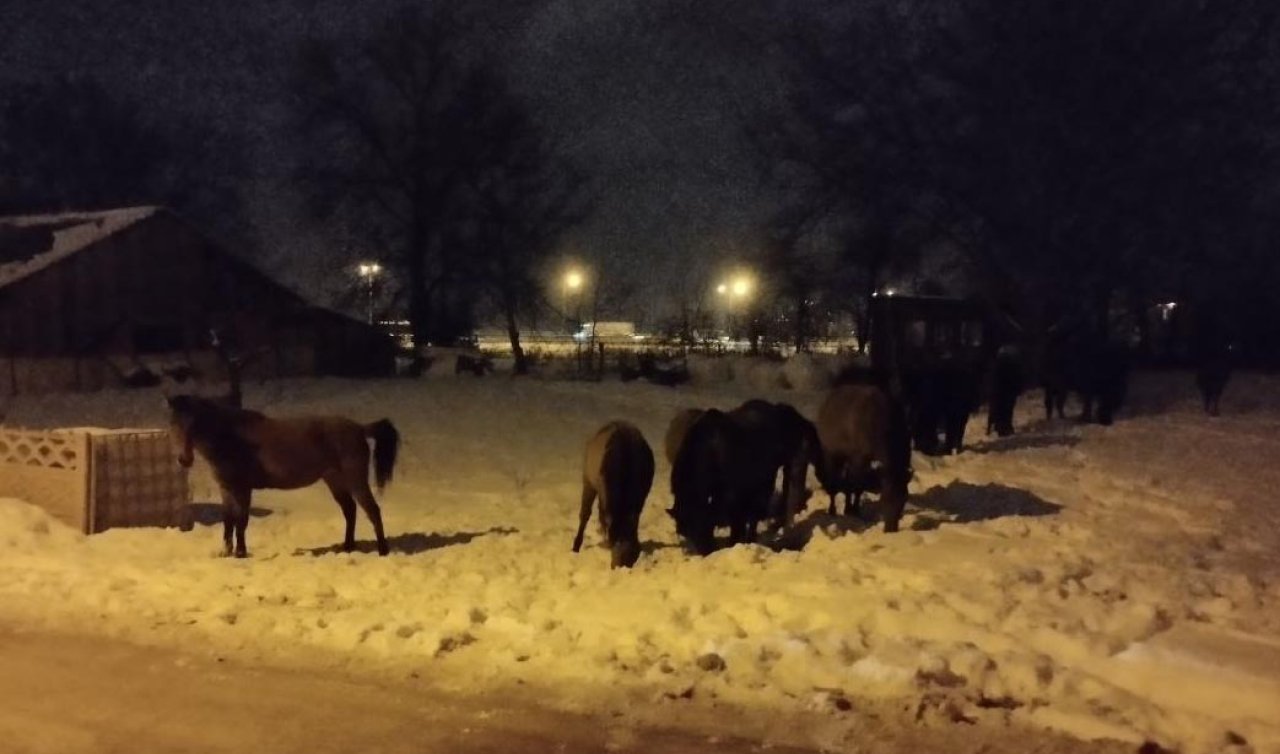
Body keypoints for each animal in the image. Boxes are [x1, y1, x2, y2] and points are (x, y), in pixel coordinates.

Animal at [167, 396, 399, 555]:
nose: (184, 460)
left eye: (195, 423)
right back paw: (348, 546)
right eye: (173, 424)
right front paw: (226, 552)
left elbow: (241, 520)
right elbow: (228, 520)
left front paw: (241, 553)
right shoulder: (227, 488)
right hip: (335, 481)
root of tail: (359, 428)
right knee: (350, 510)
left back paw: (383, 550)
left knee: (372, 510)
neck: (232, 439)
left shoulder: (243, 488)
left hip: (355, 480)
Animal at [819, 384, 911, 532]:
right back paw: (833, 510)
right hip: (832, 455)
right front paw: (853, 510)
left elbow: (856, 486)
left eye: (905, 499)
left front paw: (853, 509)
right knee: (834, 483)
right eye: (883, 499)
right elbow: (857, 485)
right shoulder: (859, 458)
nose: (890, 529)